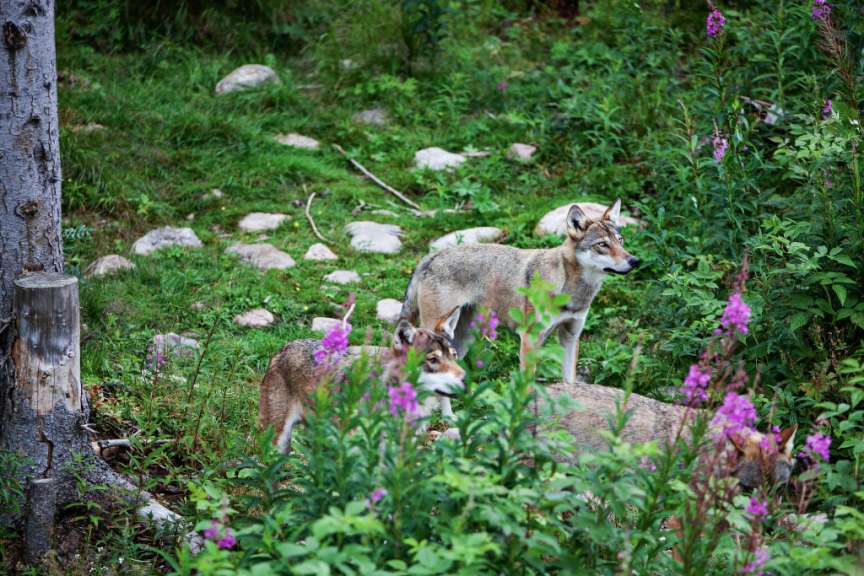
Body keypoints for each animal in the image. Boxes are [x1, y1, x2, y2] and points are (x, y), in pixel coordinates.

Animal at [401, 199, 639, 383]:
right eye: (602, 245)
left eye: (620, 241)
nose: (635, 260)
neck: (570, 292)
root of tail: (430, 257)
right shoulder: (529, 339)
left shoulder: (570, 337)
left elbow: (570, 381)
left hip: (461, 340)